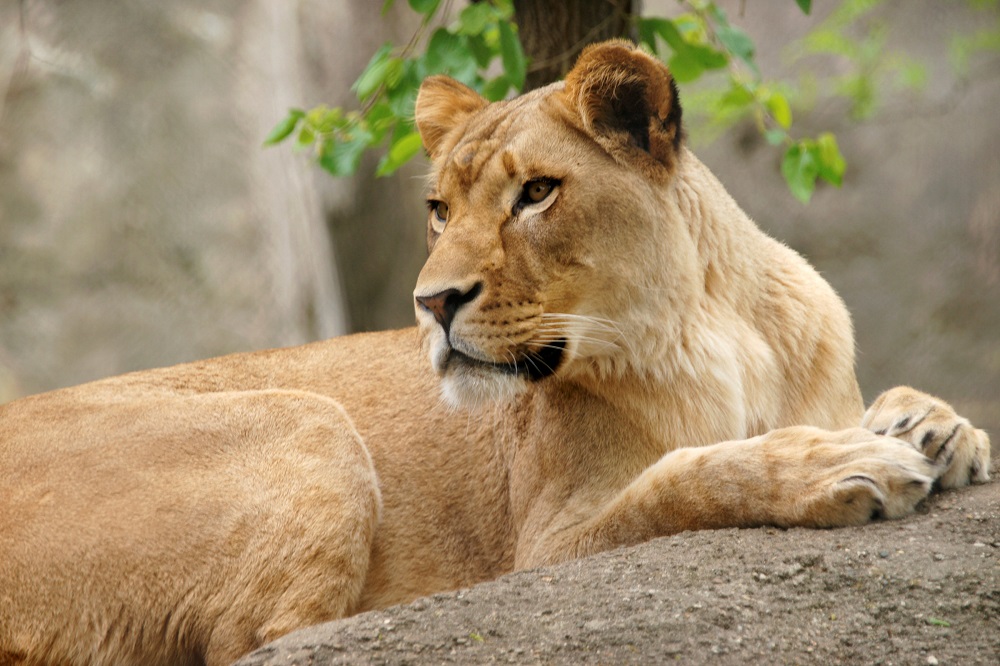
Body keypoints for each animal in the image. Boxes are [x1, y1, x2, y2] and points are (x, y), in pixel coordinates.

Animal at [0, 41, 991, 666]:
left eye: (537, 193)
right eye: (439, 210)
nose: (432, 304)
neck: (712, 330)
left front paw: (933, 426)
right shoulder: (548, 546)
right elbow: (688, 478)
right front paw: (844, 463)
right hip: (305, 420)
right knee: (264, 642)